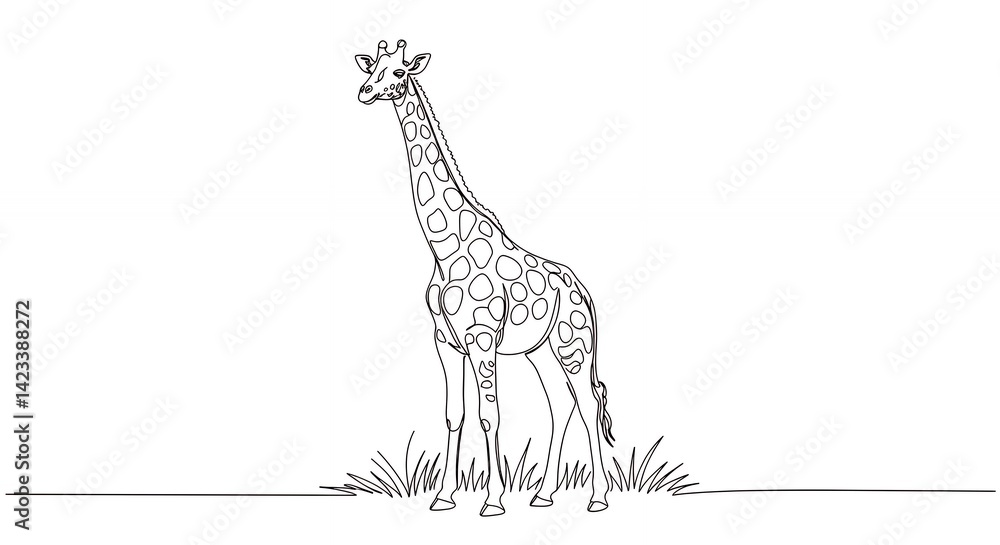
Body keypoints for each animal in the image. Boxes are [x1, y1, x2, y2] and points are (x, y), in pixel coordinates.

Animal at [355, 40, 614, 516]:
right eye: (373, 68)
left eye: (398, 72)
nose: (365, 92)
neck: (444, 249)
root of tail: (584, 292)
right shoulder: (445, 340)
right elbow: (454, 413)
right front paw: (443, 496)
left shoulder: (481, 339)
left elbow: (488, 415)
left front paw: (492, 501)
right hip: (539, 351)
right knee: (560, 404)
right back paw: (543, 495)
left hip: (574, 344)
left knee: (587, 404)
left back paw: (599, 497)